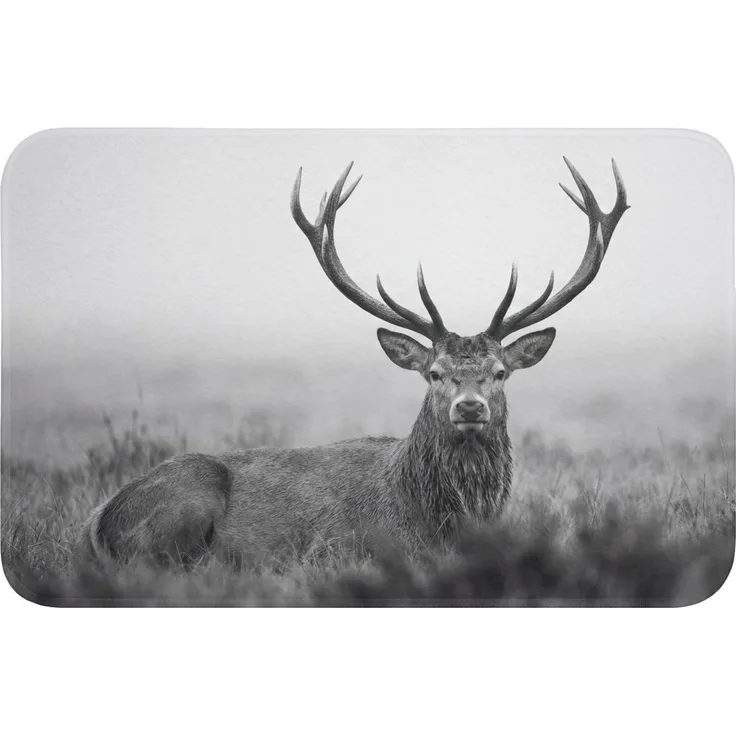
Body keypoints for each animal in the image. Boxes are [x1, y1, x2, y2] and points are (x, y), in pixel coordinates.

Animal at [82, 158, 629, 566]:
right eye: (434, 374)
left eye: (499, 373)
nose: (470, 407)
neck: (438, 517)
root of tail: (97, 522)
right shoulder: (335, 547)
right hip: (184, 506)